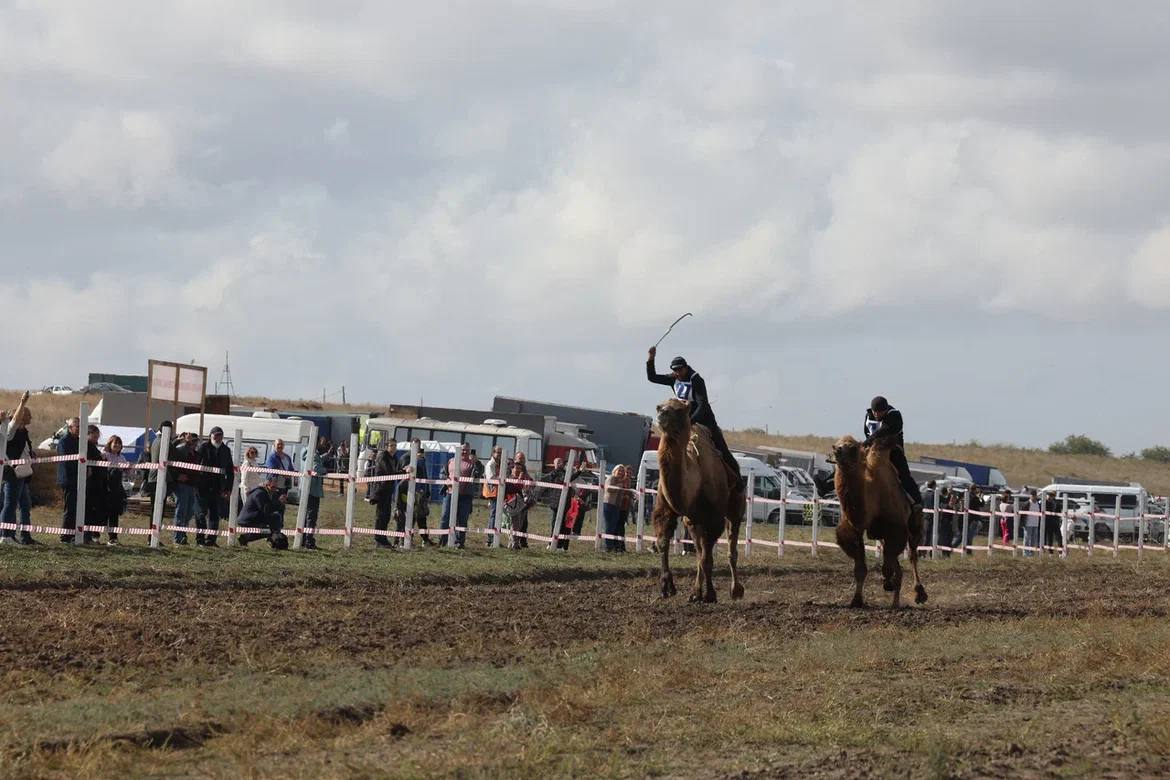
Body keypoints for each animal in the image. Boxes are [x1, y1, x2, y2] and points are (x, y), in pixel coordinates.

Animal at [655, 399, 744, 603]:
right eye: (659, 406)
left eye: (679, 409)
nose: (661, 413)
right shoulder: (674, 512)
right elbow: (664, 542)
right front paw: (667, 587)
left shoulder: (714, 520)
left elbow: (707, 559)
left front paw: (710, 595)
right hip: (694, 522)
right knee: (699, 552)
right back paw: (696, 592)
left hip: (735, 509)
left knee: (731, 549)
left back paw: (736, 590)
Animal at [837, 432, 926, 608]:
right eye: (836, 444)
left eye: (852, 447)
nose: (838, 451)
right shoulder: (855, 529)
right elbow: (860, 569)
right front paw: (856, 600)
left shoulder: (896, 528)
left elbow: (888, 566)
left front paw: (888, 583)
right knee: (897, 565)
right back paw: (895, 601)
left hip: (914, 529)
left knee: (912, 556)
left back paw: (918, 593)